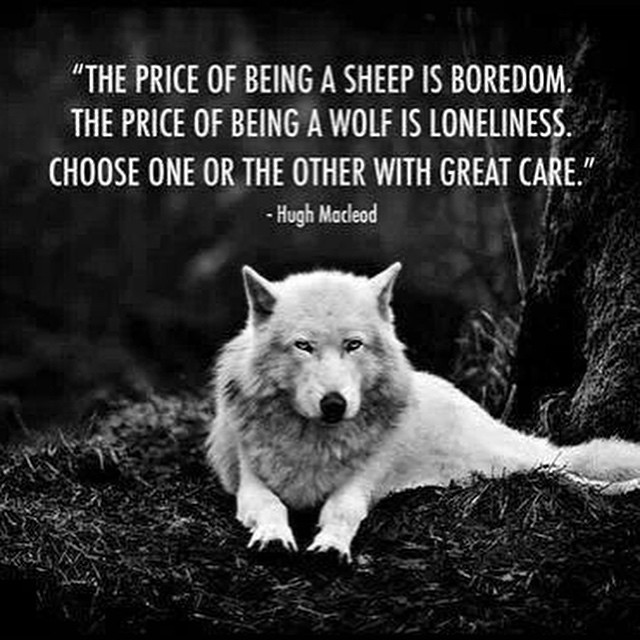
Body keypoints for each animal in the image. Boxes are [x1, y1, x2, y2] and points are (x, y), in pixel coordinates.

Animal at [206, 263, 640, 561]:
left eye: (353, 345)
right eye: (303, 346)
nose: (334, 403)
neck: (316, 443)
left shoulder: (361, 482)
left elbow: (342, 511)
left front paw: (330, 546)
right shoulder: (249, 482)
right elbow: (271, 505)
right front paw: (274, 537)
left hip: (507, 461)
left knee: (568, 473)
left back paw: (626, 487)